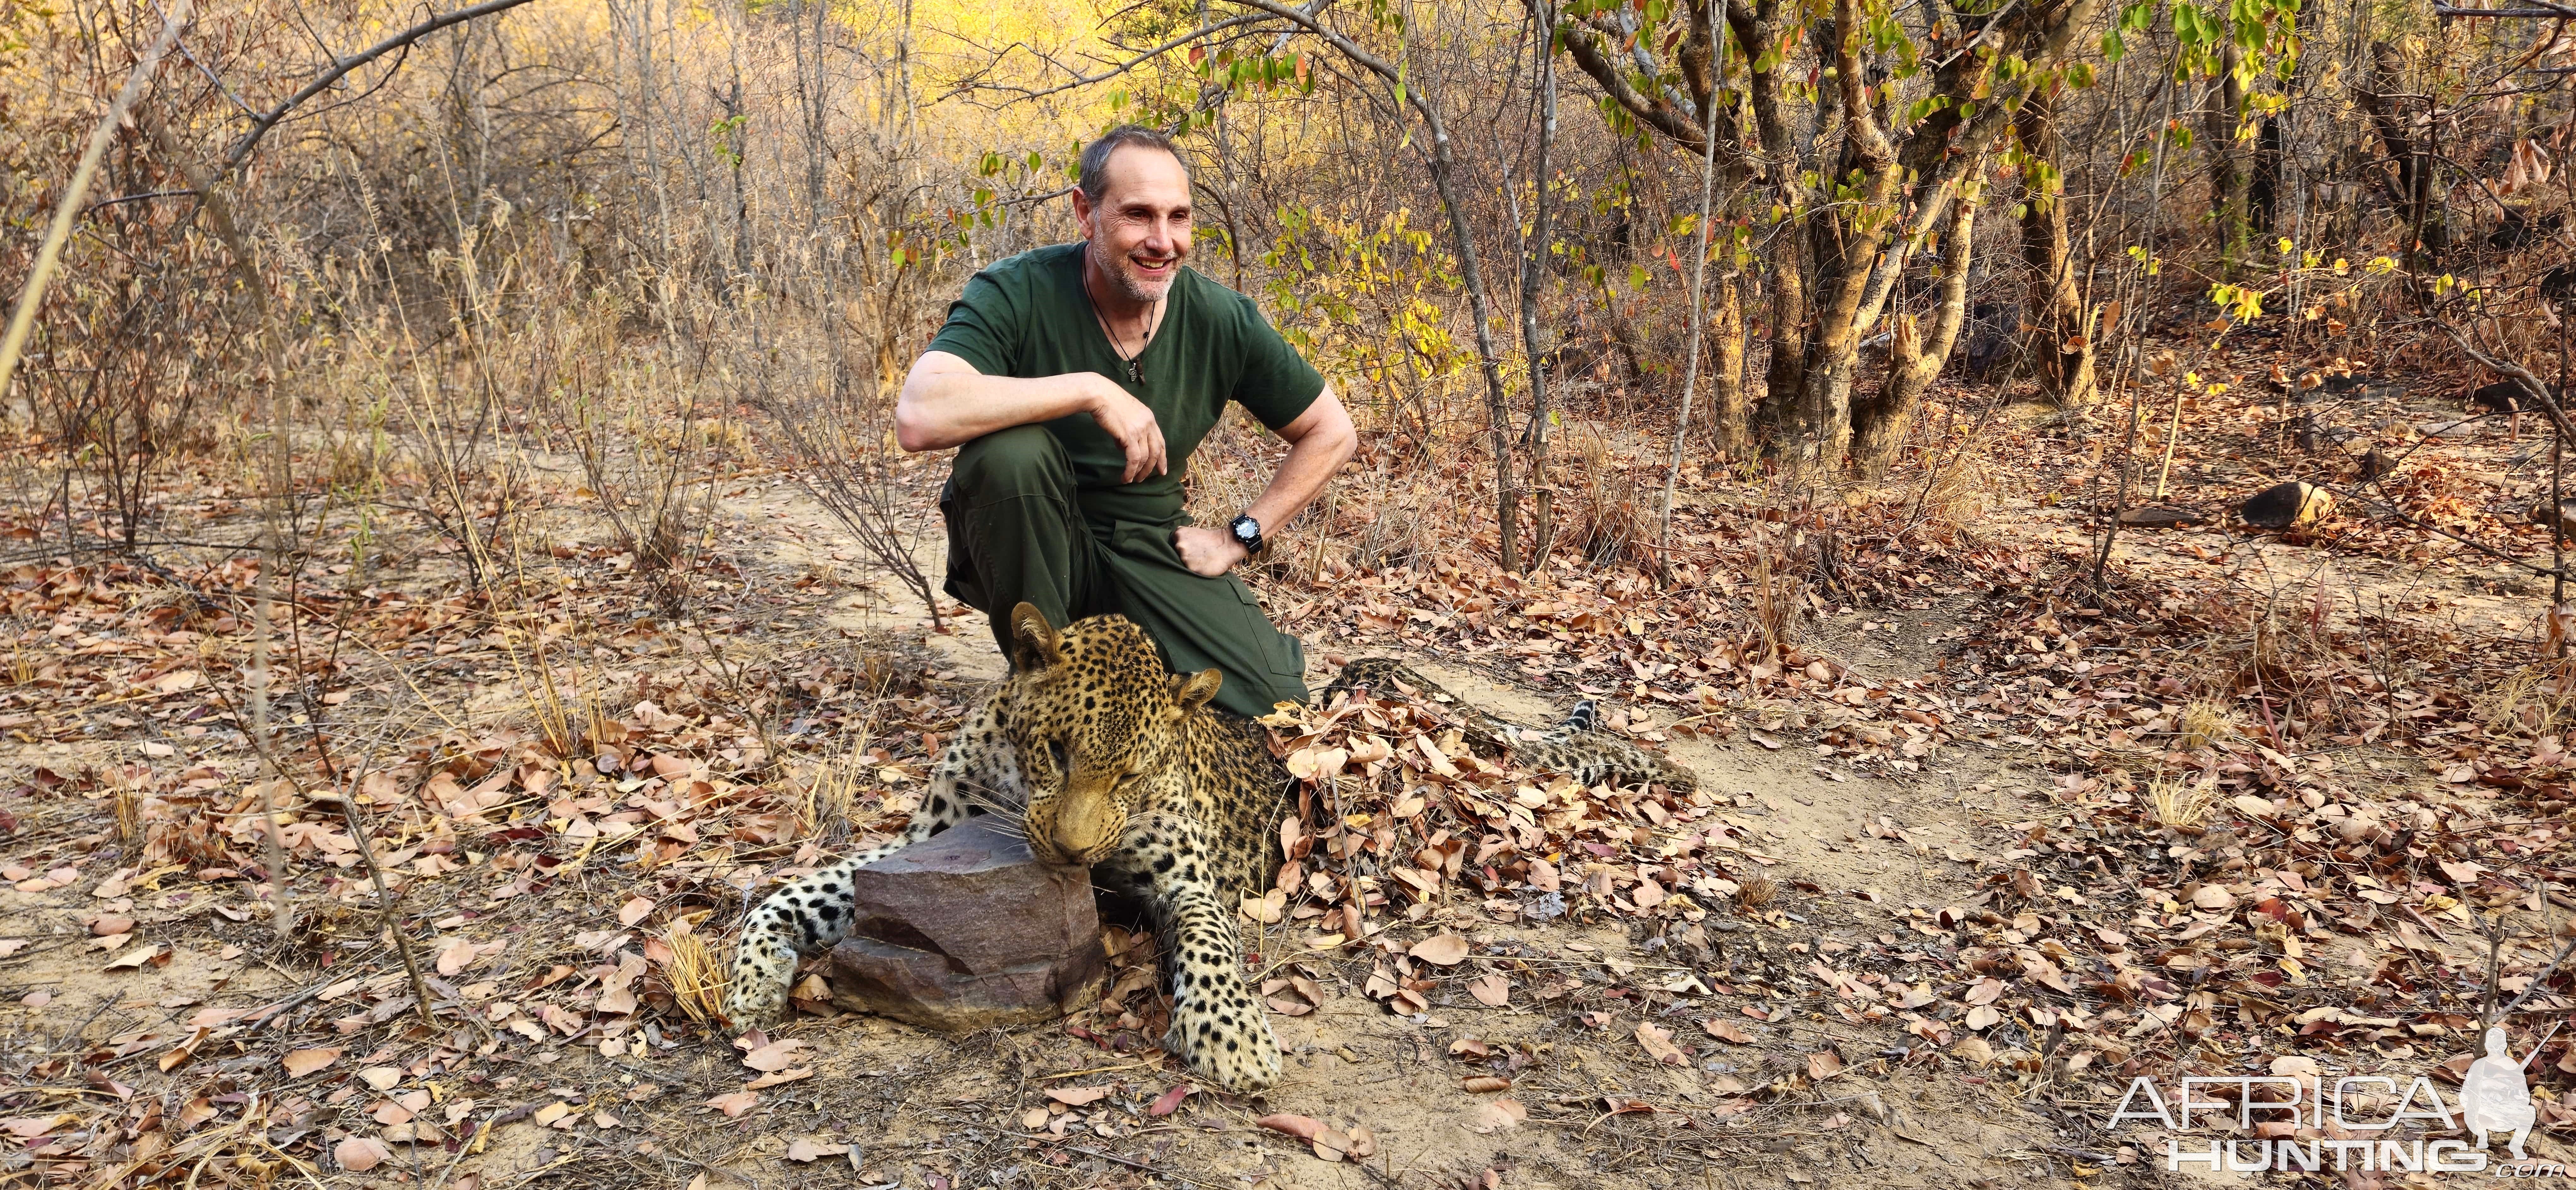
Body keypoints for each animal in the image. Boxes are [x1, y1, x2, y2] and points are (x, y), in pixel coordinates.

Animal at [726, 608, 1690, 1092]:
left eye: (1132, 773)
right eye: (1057, 753)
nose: (1070, 856)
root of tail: (1371, 670)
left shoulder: (1185, 882)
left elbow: (1211, 947)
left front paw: (1235, 1041)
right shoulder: (922, 843)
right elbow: (790, 891)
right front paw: (749, 982)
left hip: (1467, 754)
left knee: (1566, 750)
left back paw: (1666, 764)